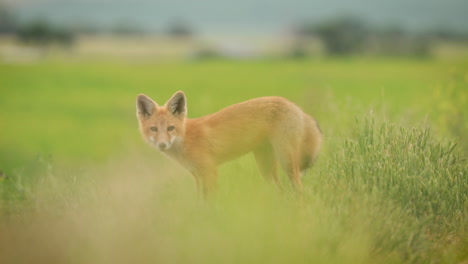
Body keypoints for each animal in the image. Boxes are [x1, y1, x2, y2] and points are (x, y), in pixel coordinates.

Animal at [136, 91, 322, 196]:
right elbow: (199, 201)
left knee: (299, 189)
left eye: (170, 128)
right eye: (153, 129)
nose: (162, 145)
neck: (187, 137)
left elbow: (209, 201)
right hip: (266, 166)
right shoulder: (197, 175)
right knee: (280, 191)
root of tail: (295, 106)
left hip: (287, 161)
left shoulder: (210, 171)